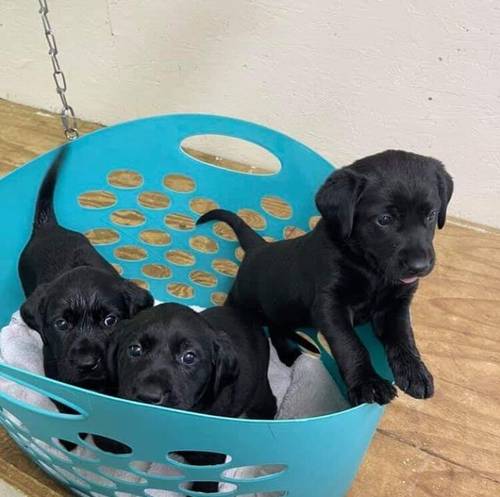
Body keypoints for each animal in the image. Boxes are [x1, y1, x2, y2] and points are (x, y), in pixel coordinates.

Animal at [106, 304, 278, 490]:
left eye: (189, 357)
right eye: (135, 349)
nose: (148, 395)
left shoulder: (211, 458)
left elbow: (206, 486)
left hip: (259, 392)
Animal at [198, 149, 454, 404]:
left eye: (431, 215)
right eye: (384, 220)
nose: (420, 266)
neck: (371, 269)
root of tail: (258, 247)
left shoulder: (395, 305)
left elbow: (403, 336)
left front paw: (414, 371)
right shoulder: (330, 303)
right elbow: (350, 344)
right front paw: (368, 383)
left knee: (277, 328)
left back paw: (290, 355)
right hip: (242, 302)